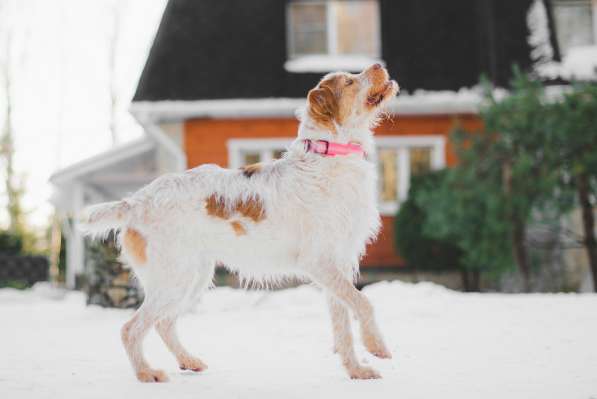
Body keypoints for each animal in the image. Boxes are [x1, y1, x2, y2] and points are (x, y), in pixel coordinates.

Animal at [81, 64, 398, 382]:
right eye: (349, 82)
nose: (380, 66)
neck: (329, 154)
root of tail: (136, 201)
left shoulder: (338, 265)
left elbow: (343, 322)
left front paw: (356, 370)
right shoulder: (319, 262)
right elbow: (363, 302)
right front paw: (377, 345)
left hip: (191, 279)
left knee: (163, 323)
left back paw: (188, 361)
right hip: (174, 279)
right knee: (131, 328)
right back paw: (147, 373)